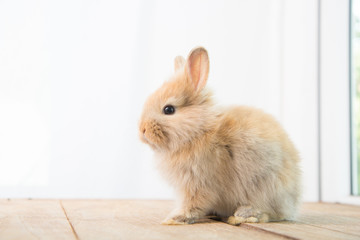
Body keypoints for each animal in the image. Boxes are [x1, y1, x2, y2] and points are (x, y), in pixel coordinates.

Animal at [139, 46, 302, 225]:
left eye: (169, 109)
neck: (199, 132)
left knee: (270, 213)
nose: (142, 130)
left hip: (268, 188)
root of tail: (293, 202)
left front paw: (175, 219)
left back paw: (242, 215)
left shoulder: (199, 184)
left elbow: (193, 205)